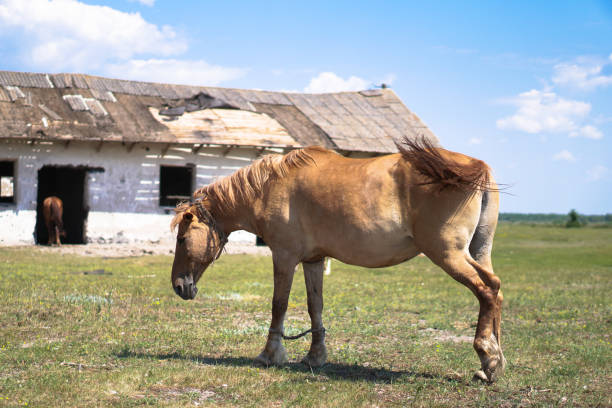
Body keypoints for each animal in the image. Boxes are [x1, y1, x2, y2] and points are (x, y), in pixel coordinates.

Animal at [170, 139, 504, 382]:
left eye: (182, 239)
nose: (178, 286)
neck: (268, 188)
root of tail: (479, 168)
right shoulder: (314, 260)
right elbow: (314, 306)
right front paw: (315, 356)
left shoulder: (284, 257)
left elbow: (279, 305)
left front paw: (270, 354)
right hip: (478, 252)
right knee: (495, 291)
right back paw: (494, 359)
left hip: (448, 254)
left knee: (487, 289)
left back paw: (487, 357)